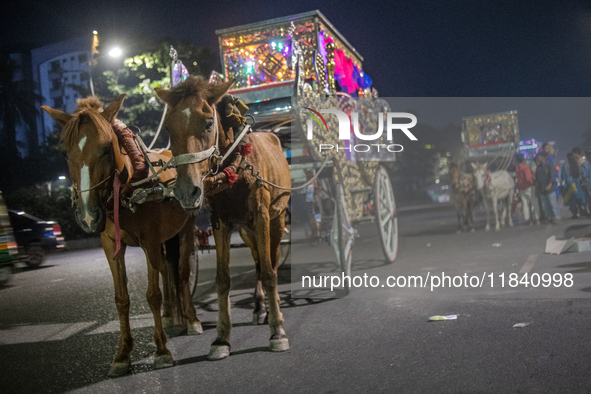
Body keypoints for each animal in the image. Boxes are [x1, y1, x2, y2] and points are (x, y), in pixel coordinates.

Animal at [41, 94, 202, 376]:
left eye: (107, 149)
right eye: (64, 153)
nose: (88, 216)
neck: (127, 190)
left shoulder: (150, 241)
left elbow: (152, 295)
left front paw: (161, 350)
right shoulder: (110, 244)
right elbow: (121, 298)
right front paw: (122, 354)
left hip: (187, 225)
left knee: (181, 272)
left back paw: (191, 319)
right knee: (167, 269)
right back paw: (171, 316)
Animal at [154, 76, 290, 360]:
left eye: (208, 123)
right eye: (168, 128)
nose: (187, 191)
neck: (237, 168)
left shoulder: (262, 217)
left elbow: (270, 273)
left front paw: (278, 332)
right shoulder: (222, 222)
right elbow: (223, 279)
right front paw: (221, 339)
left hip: (278, 219)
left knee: (270, 261)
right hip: (247, 230)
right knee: (258, 261)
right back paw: (260, 308)